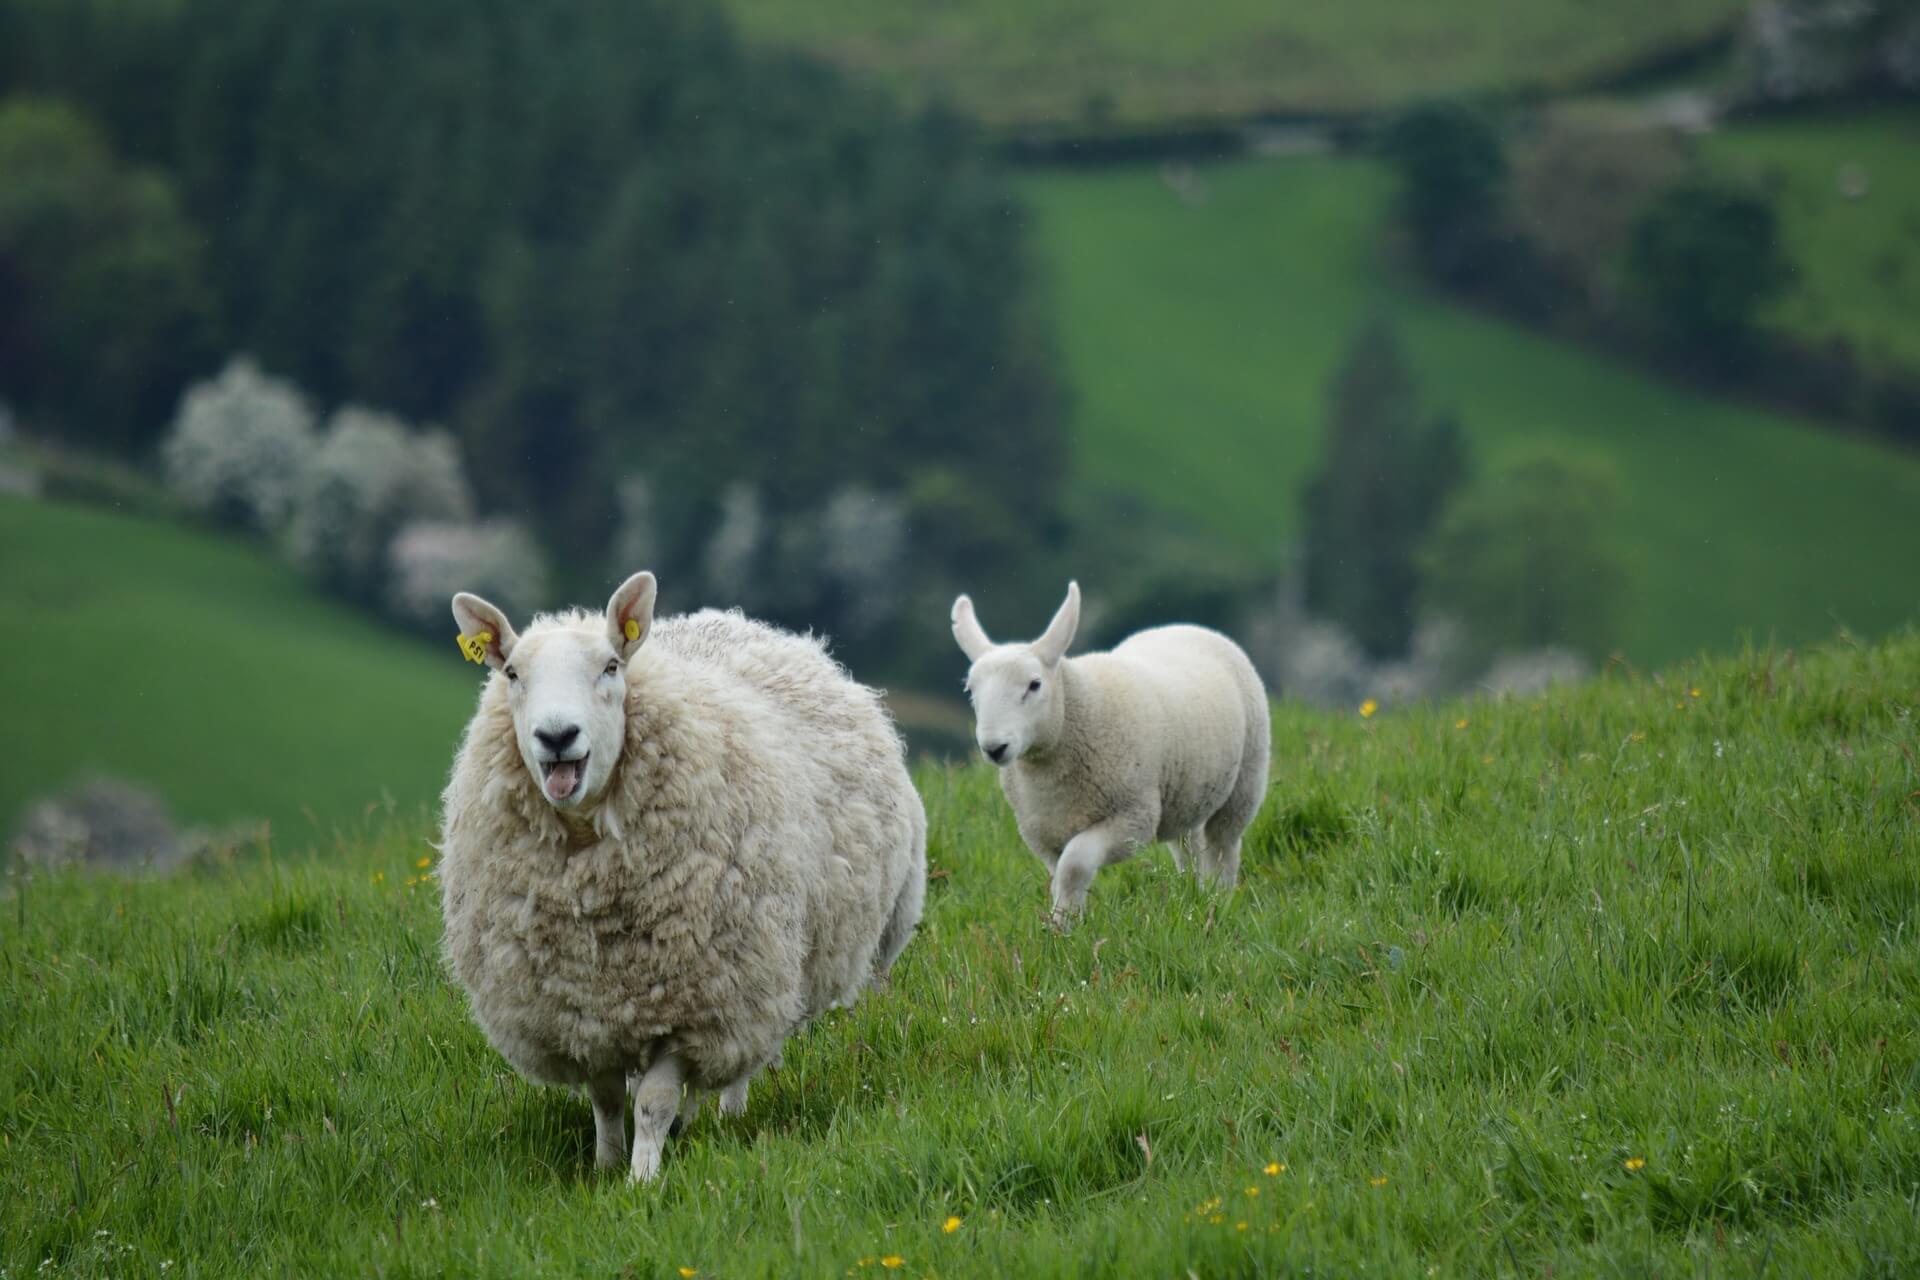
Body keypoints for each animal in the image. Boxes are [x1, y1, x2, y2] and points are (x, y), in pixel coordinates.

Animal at [438, 572, 927, 1182]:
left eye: (610, 667)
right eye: (511, 674)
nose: (556, 736)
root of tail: (738, 622)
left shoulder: (695, 1001)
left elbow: (654, 1100)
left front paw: (642, 1180)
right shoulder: (580, 1009)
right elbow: (607, 1099)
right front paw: (605, 1168)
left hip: (767, 968)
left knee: (743, 1057)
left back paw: (725, 1117)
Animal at [951, 581, 1270, 924]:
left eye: (1034, 685)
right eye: (970, 690)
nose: (994, 747)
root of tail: (1185, 626)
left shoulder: (1133, 818)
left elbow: (1075, 864)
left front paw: (1063, 924)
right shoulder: (1043, 835)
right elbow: (1060, 876)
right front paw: (1065, 921)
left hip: (1245, 781)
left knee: (1223, 846)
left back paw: (1218, 900)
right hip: (1186, 792)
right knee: (1190, 845)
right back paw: (1194, 898)